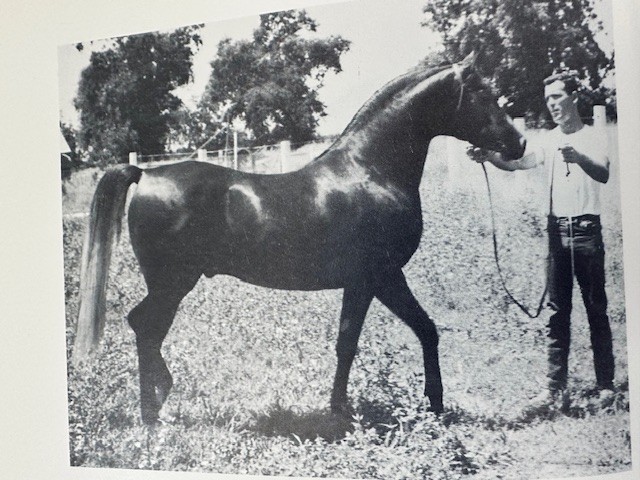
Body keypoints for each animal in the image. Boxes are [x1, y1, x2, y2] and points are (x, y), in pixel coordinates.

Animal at [73, 52, 526, 425]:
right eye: (483, 93)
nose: (518, 142)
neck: (371, 170)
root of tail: (146, 174)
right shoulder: (377, 277)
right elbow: (381, 337)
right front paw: (404, 406)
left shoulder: (373, 281)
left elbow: (384, 335)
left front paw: (357, 408)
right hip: (172, 283)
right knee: (145, 327)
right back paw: (152, 412)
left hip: (171, 284)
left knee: (145, 328)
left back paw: (157, 402)